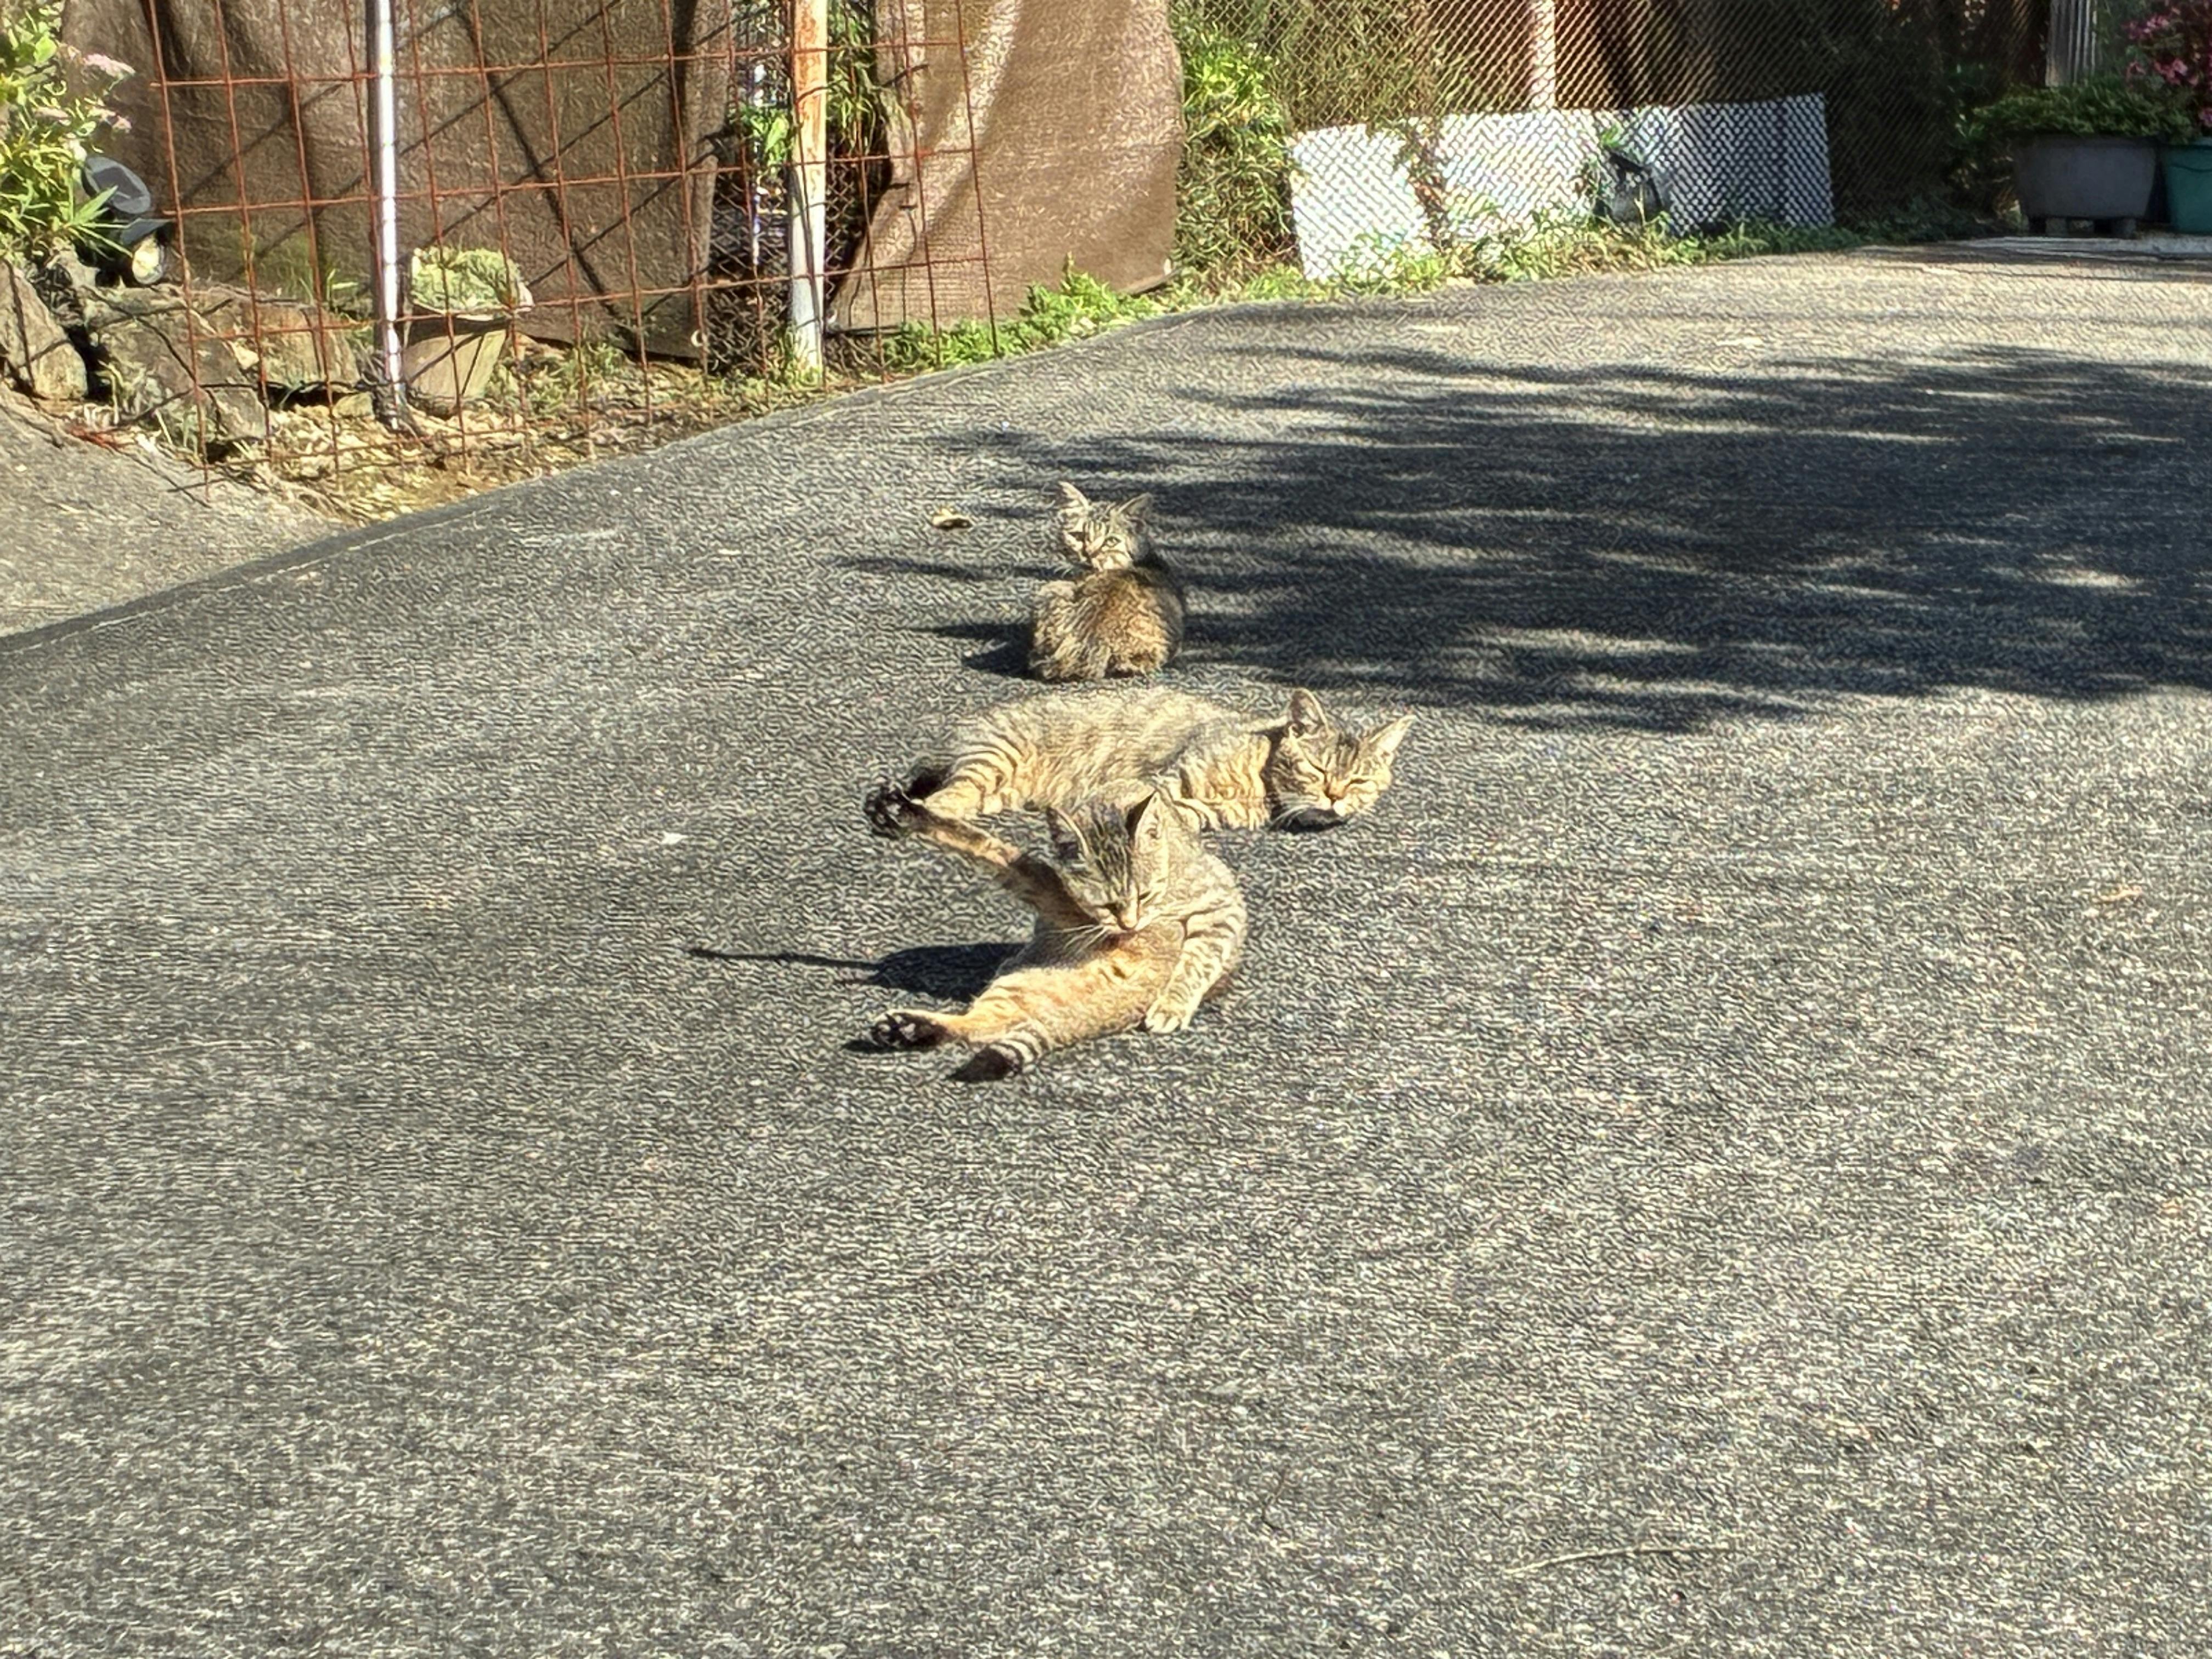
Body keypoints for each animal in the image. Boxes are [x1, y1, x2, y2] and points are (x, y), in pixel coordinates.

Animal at [862, 785, 1246, 1081]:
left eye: (1144, 896)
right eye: (1107, 904)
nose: (1128, 923)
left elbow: (987, 847)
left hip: (1045, 907)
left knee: (991, 849)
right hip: (1021, 984)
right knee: (981, 1023)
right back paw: (911, 1029)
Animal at [876, 684, 1414, 835]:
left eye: (1360, 781)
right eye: (1319, 771)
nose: (1335, 797)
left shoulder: (1197, 807)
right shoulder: (1169, 779)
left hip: (999, 789)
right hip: (995, 758)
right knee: (945, 795)